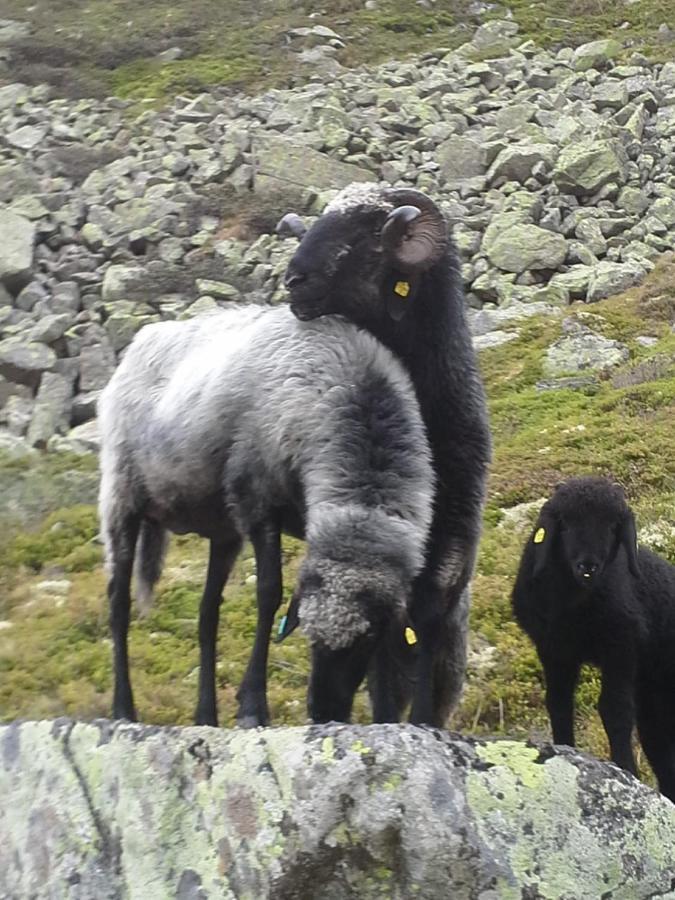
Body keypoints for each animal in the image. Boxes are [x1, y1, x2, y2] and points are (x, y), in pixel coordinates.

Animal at [512, 478, 675, 800]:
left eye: (612, 527)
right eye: (565, 525)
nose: (587, 567)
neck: (571, 605)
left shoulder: (621, 646)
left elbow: (614, 709)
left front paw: (626, 769)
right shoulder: (553, 649)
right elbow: (559, 702)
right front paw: (564, 750)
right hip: (655, 695)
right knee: (661, 749)